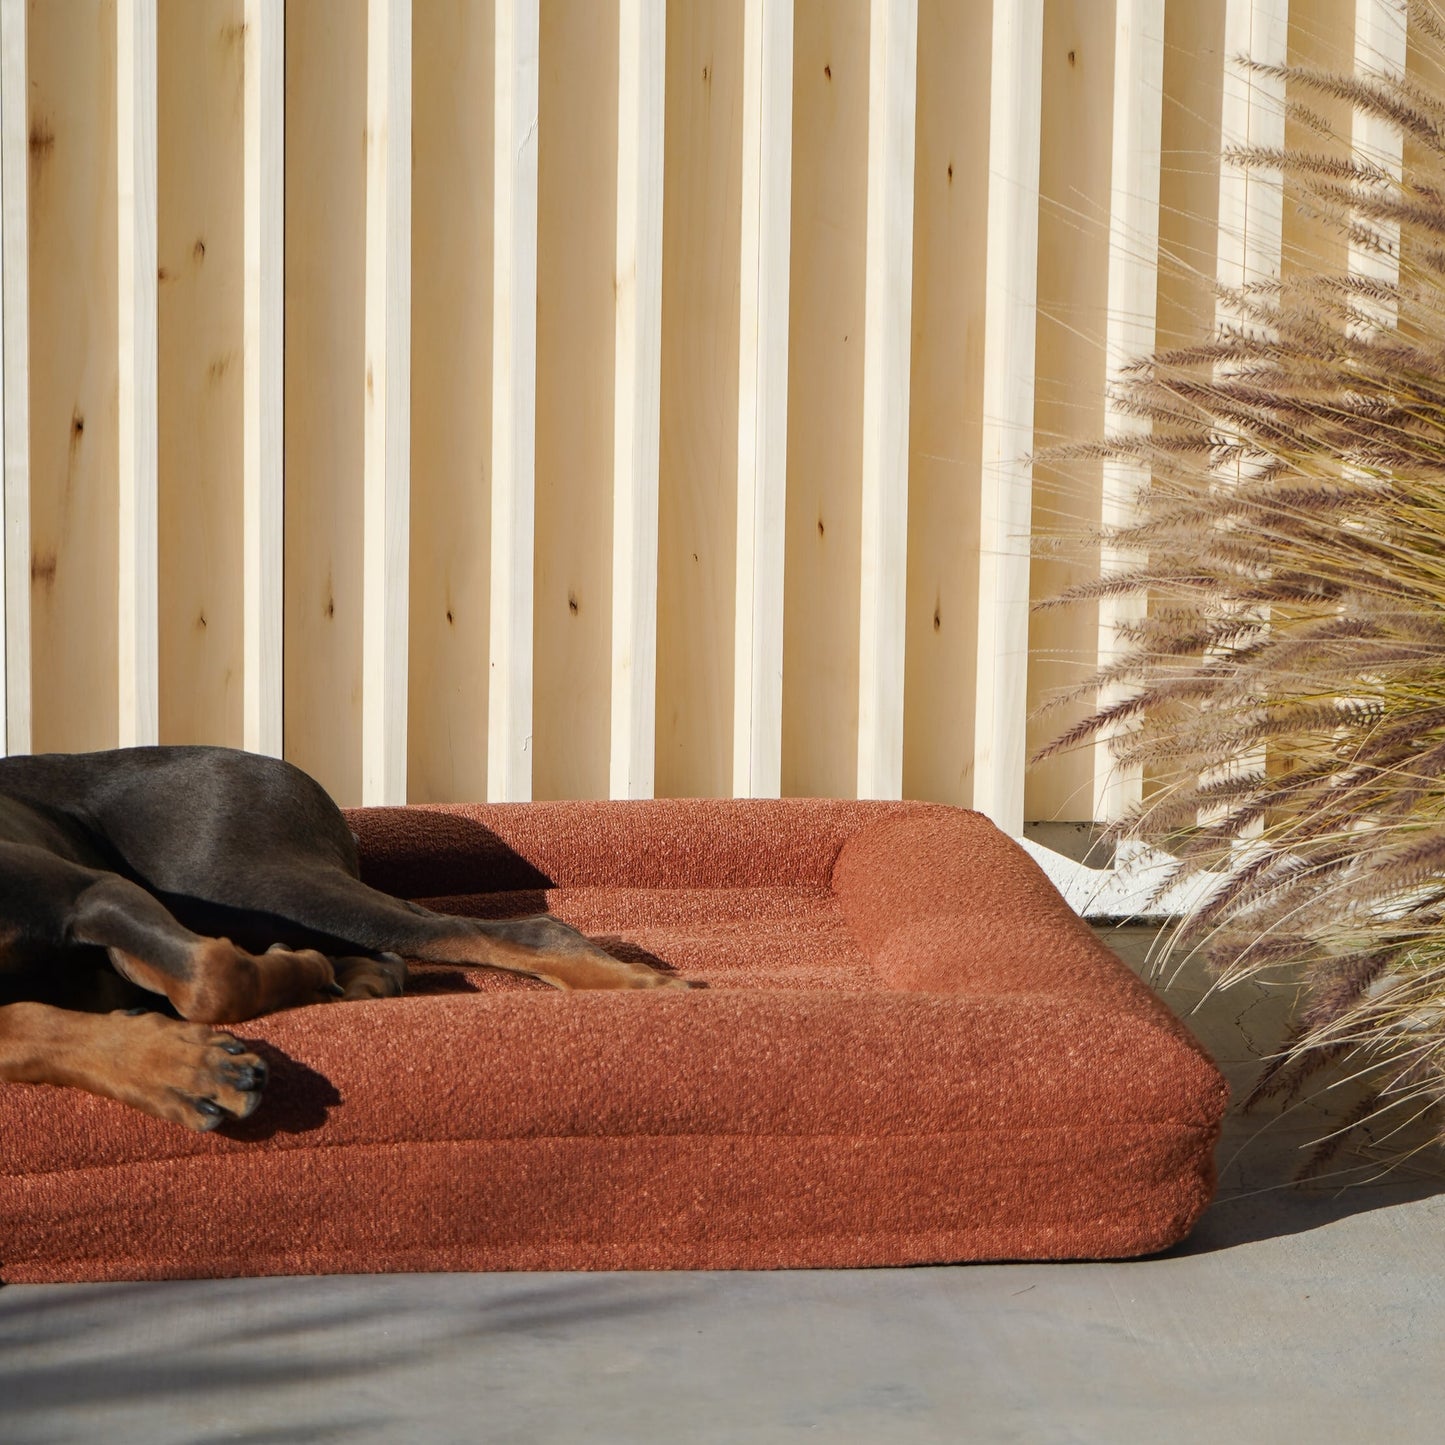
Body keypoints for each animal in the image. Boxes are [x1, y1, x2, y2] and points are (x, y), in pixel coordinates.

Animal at [0, 745, 693, 1127]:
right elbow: (31, 1027)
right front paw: (179, 1072)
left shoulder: (94, 892)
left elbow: (212, 978)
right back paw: (355, 979)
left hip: (240, 878)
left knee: (499, 928)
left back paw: (638, 984)